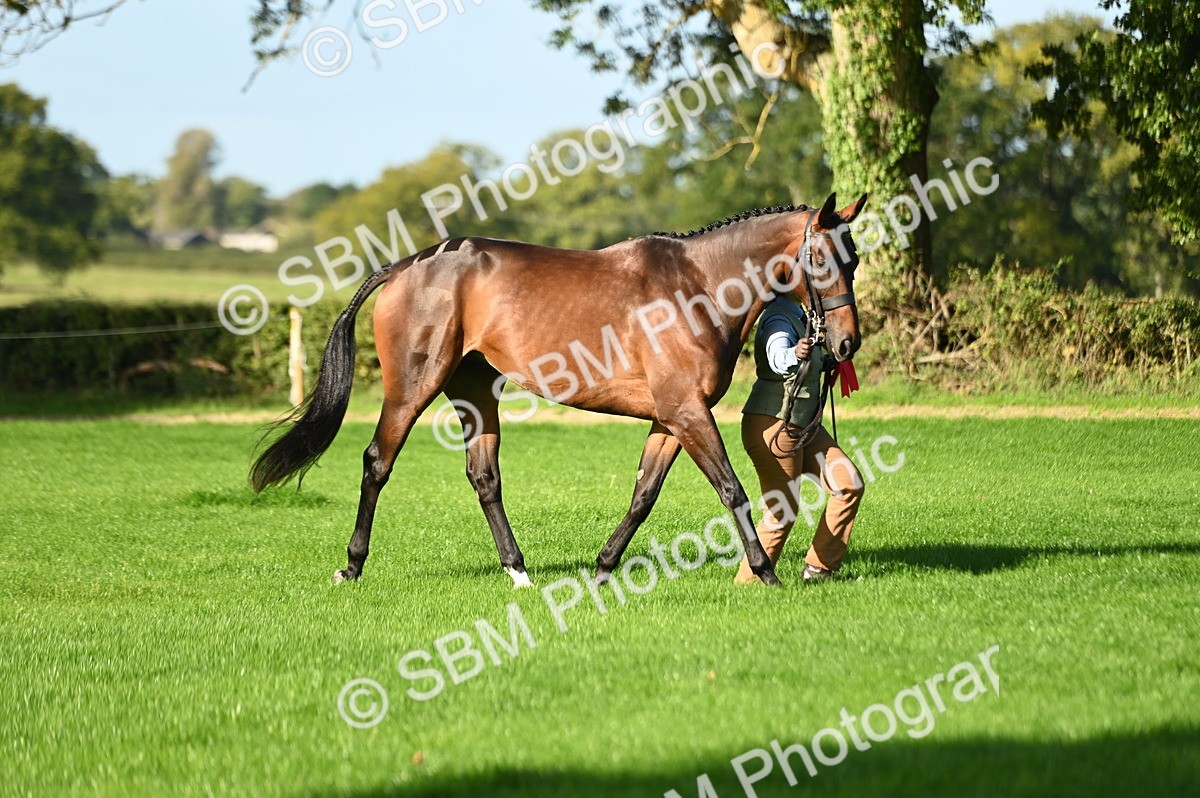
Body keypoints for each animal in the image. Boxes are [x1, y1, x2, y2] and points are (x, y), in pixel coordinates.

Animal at [250, 192, 867, 587]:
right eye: (819, 256)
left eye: (855, 257)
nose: (845, 343)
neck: (699, 286)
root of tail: (404, 266)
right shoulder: (688, 414)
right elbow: (732, 490)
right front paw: (766, 573)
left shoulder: (671, 418)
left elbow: (643, 494)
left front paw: (603, 567)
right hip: (412, 387)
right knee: (378, 461)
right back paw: (352, 566)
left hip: (476, 392)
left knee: (484, 476)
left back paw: (518, 570)